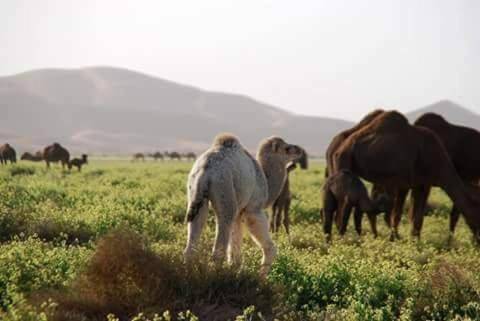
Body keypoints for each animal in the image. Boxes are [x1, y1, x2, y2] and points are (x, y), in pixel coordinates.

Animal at [332, 110, 480, 242]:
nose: (477, 241)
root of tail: (340, 148)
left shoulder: (419, 184)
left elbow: (415, 216)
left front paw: (414, 241)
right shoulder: (414, 183)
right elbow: (405, 214)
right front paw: (402, 240)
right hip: (345, 162)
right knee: (342, 210)